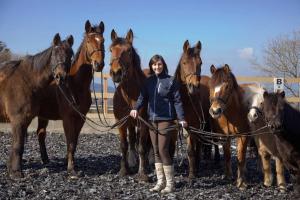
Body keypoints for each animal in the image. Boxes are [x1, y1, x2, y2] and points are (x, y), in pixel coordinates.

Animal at [0, 33, 74, 178]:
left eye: (70, 54)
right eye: (55, 53)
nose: (61, 77)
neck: (27, 81)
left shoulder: (25, 120)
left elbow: (18, 144)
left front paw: (11, 168)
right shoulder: (18, 120)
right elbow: (18, 145)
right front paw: (16, 172)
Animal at [36, 19, 105, 177]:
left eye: (103, 41)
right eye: (88, 41)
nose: (99, 64)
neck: (75, 85)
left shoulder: (81, 118)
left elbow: (74, 141)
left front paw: (71, 163)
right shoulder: (67, 118)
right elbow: (70, 142)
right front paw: (71, 168)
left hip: (43, 115)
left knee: (41, 134)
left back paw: (45, 160)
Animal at [109, 28, 150, 180]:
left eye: (128, 51)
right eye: (110, 50)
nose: (116, 73)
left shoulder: (143, 123)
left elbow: (142, 147)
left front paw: (142, 173)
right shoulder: (121, 122)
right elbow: (124, 145)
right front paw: (124, 169)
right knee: (132, 140)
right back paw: (132, 161)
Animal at [173, 39, 218, 179]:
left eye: (200, 62)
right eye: (184, 62)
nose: (193, 86)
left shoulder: (192, 127)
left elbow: (190, 151)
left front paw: (192, 175)